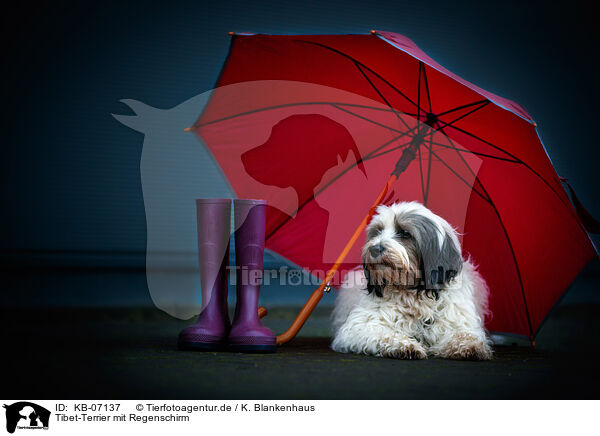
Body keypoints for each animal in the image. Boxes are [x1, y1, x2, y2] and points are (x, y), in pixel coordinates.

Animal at [332, 203, 492, 360]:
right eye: (378, 231)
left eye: (405, 233)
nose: (375, 249)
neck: (415, 294)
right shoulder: (358, 327)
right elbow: (380, 334)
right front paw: (403, 345)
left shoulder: (459, 322)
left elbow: (464, 334)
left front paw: (469, 346)